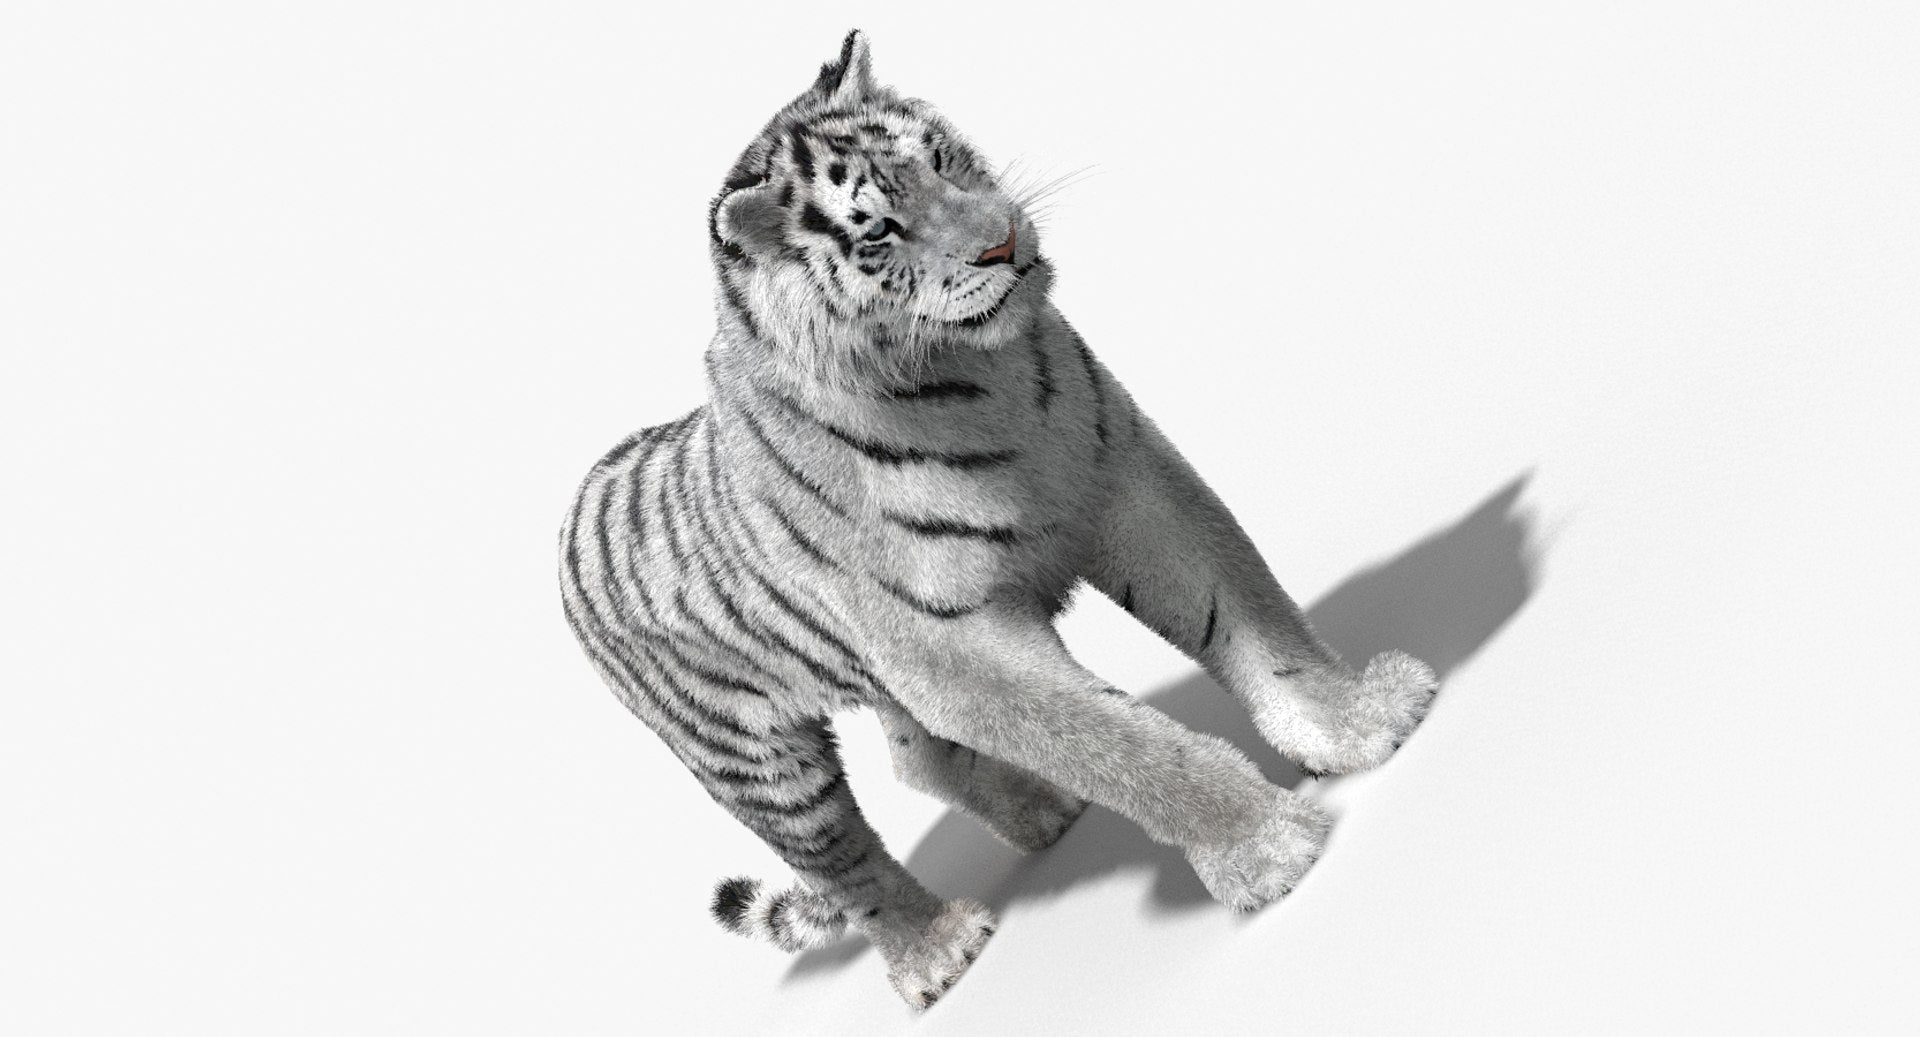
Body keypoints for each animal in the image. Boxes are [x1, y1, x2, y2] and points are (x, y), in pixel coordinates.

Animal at [557, 30, 1440, 1010]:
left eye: (941, 160)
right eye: (878, 231)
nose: (1004, 237)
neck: (975, 379)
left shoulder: (1128, 480)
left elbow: (1248, 614)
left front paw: (1359, 723)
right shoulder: (956, 646)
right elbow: (1119, 743)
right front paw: (1267, 848)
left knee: (920, 761)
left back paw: (1043, 809)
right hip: (758, 761)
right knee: (846, 863)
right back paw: (937, 950)